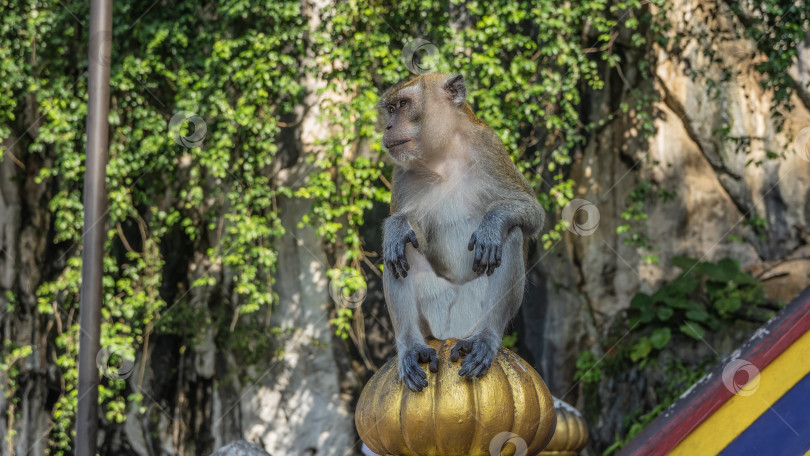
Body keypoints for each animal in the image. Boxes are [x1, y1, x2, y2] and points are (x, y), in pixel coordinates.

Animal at [378, 73, 544, 390]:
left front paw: (492, 224)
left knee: (511, 235)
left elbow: (532, 213)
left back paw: (484, 338)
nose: (388, 127)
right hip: (434, 311)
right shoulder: (401, 174)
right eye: (391, 109)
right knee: (397, 252)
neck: (443, 157)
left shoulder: (489, 146)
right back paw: (411, 345)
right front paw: (395, 226)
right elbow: (409, 233)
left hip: (473, 310)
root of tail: (450, 334)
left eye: (403, 105)